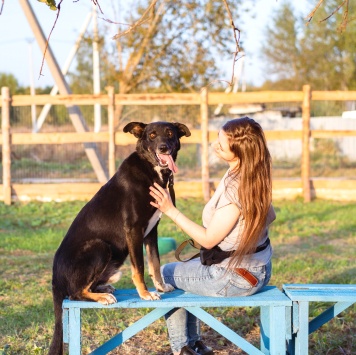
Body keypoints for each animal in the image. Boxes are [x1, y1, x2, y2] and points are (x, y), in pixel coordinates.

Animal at [49, 120, 192, 355]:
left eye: (170, 133)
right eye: (152, 135)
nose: (164, 148)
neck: (152, 171)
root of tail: (55, 277)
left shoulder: (152, 231)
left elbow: (154, 263)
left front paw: (161, 287)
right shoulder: (134, 230)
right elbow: (140, 268)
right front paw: (146, 294)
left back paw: (103, 288)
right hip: (99, 247)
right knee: (75, 293)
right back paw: (102, 296)